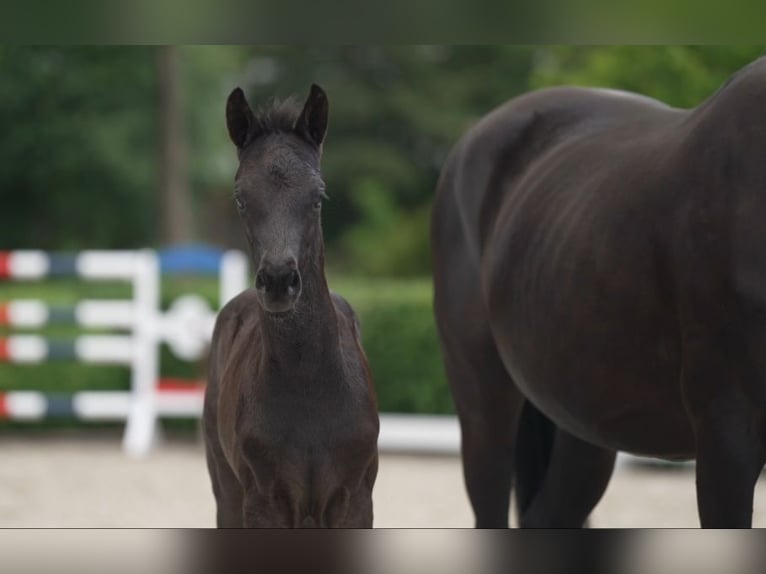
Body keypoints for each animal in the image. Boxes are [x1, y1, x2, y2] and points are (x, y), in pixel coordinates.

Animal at [203, 84, 379, 527]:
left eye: (318, 197)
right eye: (241, 198)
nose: (280, 281)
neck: (310, 384)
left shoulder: (355, 500)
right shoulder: (263, 502)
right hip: (226, 490)